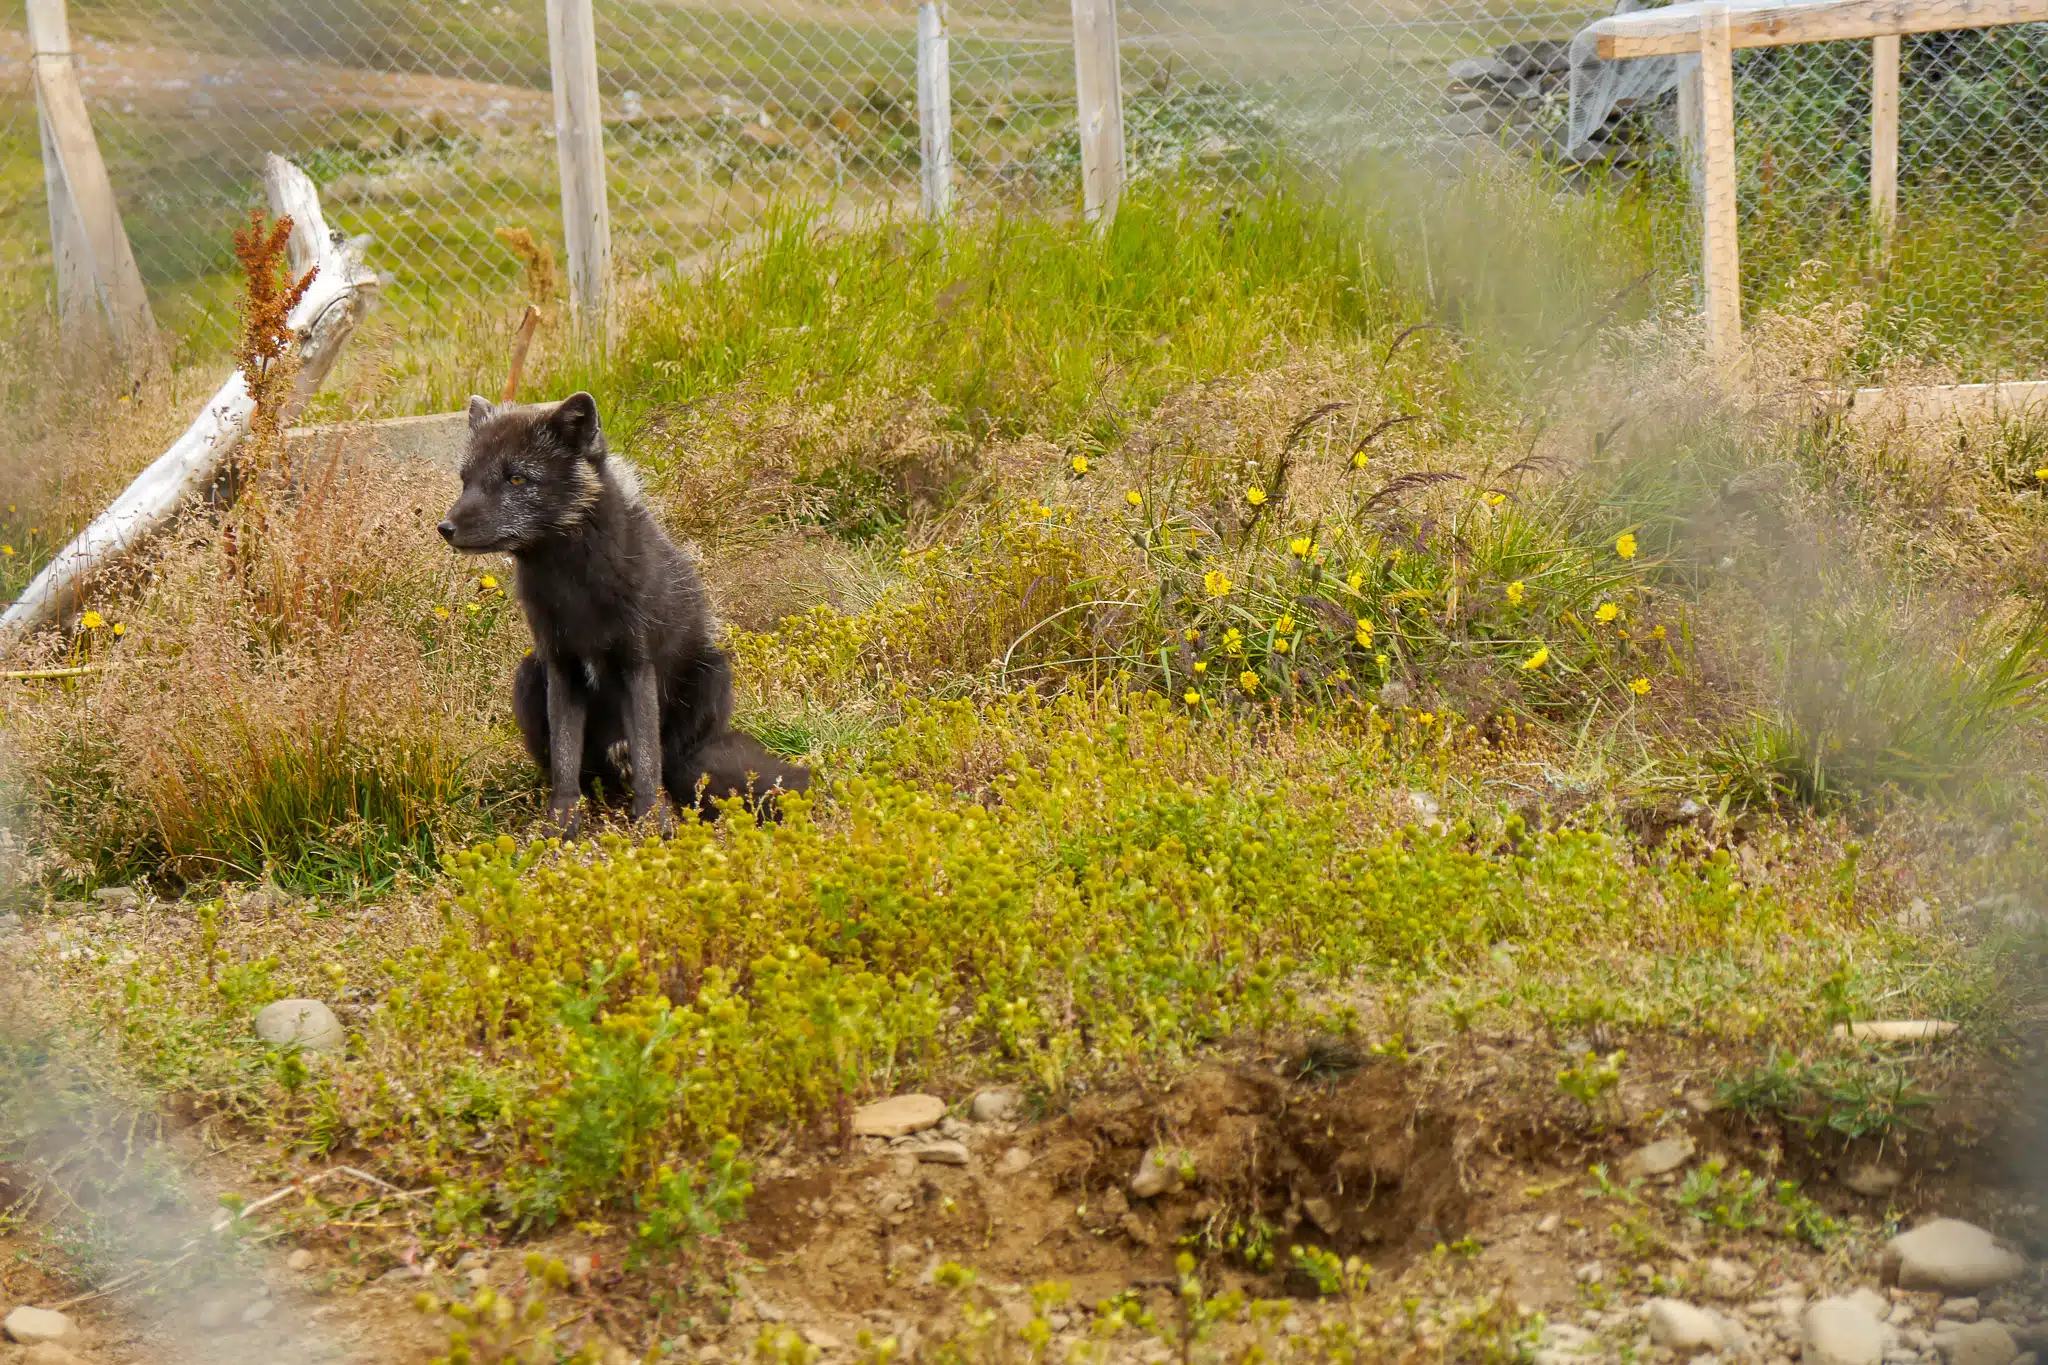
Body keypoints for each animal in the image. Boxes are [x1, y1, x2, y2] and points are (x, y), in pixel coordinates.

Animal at [438, 392, 808, 829]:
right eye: (466, 480)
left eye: (516, 479)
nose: (444, 528)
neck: (573, 587)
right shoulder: (561, 666)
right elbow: (565, 761)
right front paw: (562, 823)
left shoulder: (637, 664)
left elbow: (648, 759)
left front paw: (652, 823)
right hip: (529, 673)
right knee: (587, 771)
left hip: (711, 672)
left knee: (673, 765)